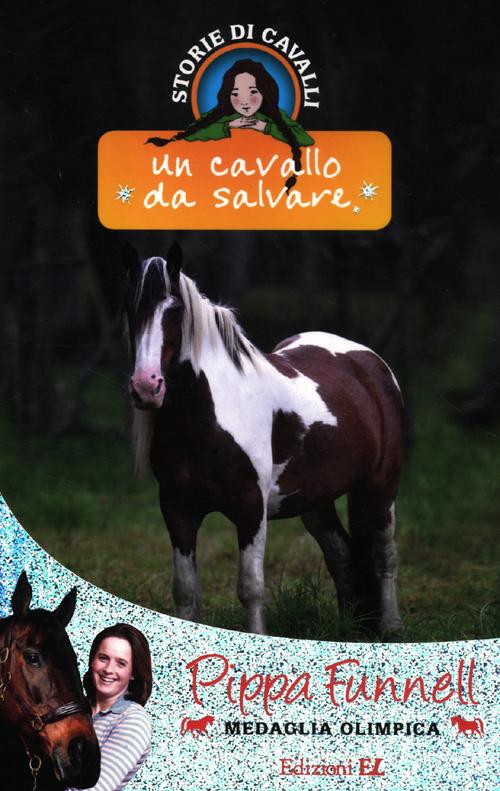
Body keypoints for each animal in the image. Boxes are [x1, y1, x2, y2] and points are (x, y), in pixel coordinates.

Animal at [124, 241, 404, 636]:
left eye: (174, 309)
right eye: (130, 309)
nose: (146, 386)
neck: (209, 417)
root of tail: (369, 363)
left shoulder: (250, 508)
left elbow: (251, 587)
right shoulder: (177, 509)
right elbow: (186, 592)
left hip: (380, 487)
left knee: (384, 557)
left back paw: (392, 627)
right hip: (314, 500)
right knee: (343, 557)